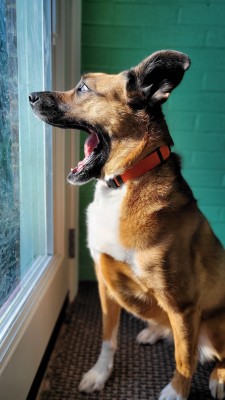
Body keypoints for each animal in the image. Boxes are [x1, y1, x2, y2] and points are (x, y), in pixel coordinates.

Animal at [29, 50, 225, 400]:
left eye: (83, 88)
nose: (30, 96)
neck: (124, 183)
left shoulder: (184, 304)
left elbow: (184, 357)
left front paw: (176, 392)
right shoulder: (105, 282)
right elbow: (108, 337)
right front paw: (100, 373)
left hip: (214, 324)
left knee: (215, 352)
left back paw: (218, 378)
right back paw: (155, 331)